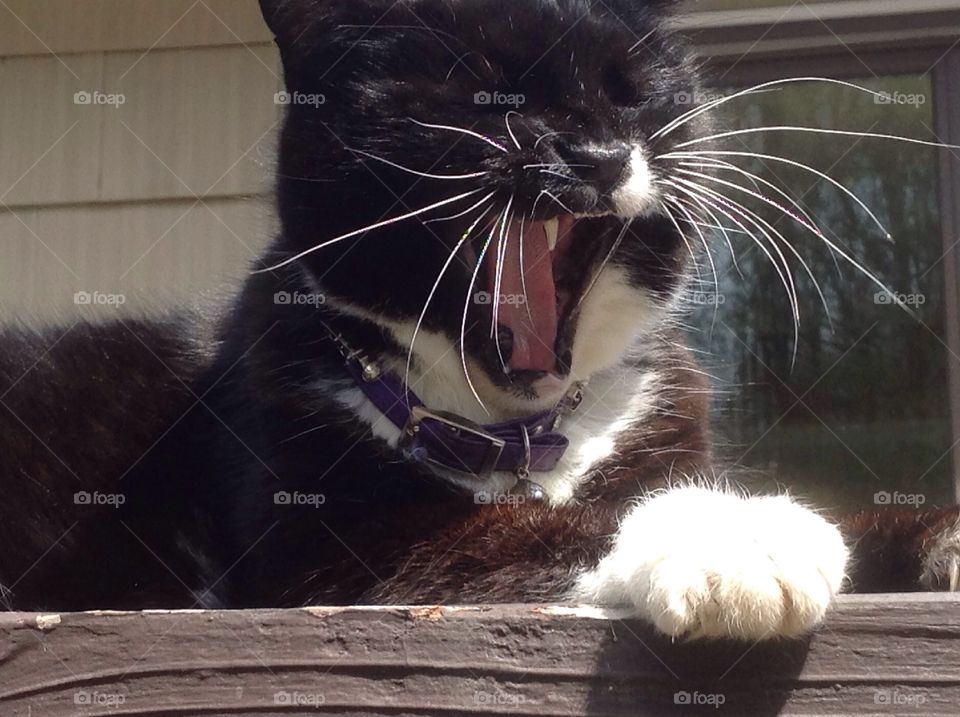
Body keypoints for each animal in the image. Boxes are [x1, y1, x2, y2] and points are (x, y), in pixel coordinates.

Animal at [1, 0, 960, 636]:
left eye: (631, 89)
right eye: (485, 93)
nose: (596, 151)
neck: (517, 434)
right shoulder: (329, 545)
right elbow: (524, 531)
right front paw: (738, 532)